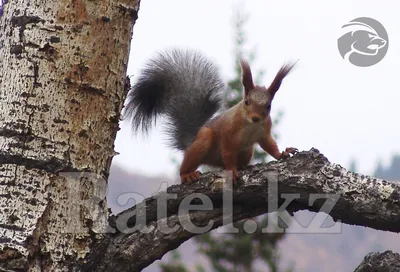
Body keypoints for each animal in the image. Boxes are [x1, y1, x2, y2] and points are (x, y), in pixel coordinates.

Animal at [125, 48, 296, 185]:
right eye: (247, 102)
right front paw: (232, 170)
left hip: (247, 150)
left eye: (268, 106)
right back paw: (187, 174)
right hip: (203, 140)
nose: (255, 118)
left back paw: (242, 165)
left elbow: (269, 145)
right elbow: (228, 151)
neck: (250, 125)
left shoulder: (264, 131)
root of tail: (191, 141)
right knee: (189, 163)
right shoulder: (228, 131)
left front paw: (282, 154)